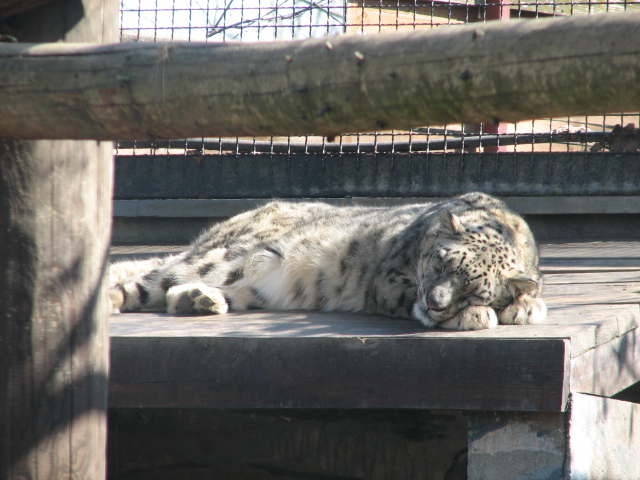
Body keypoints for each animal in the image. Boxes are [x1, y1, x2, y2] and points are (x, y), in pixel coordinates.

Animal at [110, 192, 546, 331]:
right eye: (439, 261)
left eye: (473, 288)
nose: (435, 303)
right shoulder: (390, 281)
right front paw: (476, 316)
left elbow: (531, 288)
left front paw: (526, 305)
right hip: (231, 258)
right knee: (150, 282)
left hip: (252, 288)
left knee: (173, 292)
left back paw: (200, 301)